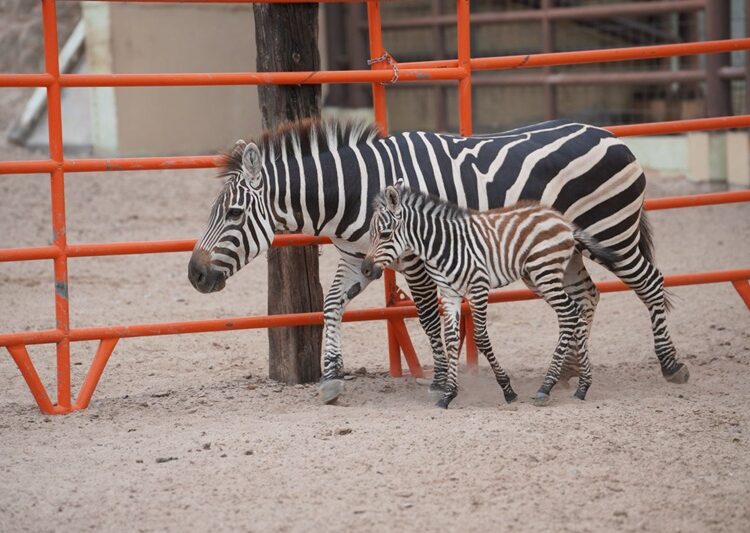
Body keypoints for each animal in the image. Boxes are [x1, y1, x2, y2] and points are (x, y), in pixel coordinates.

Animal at [361, 185, 622, 408]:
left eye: (385, 234)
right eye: (371, 234)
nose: (365, 270)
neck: (443, 245)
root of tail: (563, 221)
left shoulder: (478, 288)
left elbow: (481, 338)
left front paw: (507, 390)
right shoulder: (450, 294)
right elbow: (451, 339)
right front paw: (448, 395)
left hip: (544, 272)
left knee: (569, 313)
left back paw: (546, 387)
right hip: (544, 276)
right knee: (575, 312)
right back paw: (582, 386)